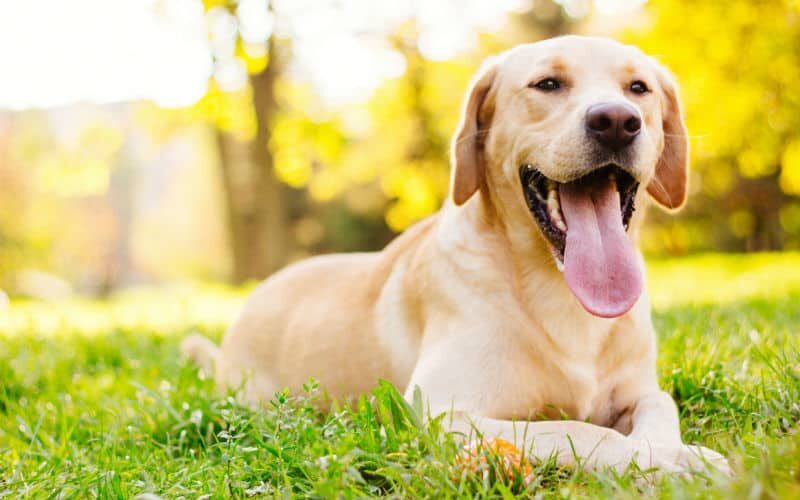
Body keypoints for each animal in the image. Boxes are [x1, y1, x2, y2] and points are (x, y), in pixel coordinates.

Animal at [186, 36, 732, 476]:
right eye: (548, 84)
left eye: (639, 88)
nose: (617, 121)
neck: (557, 288)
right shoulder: (441, 413)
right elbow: (579, 431)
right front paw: (664, 459)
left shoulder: (640, 391)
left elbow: (660, 408)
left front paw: (676, 451)